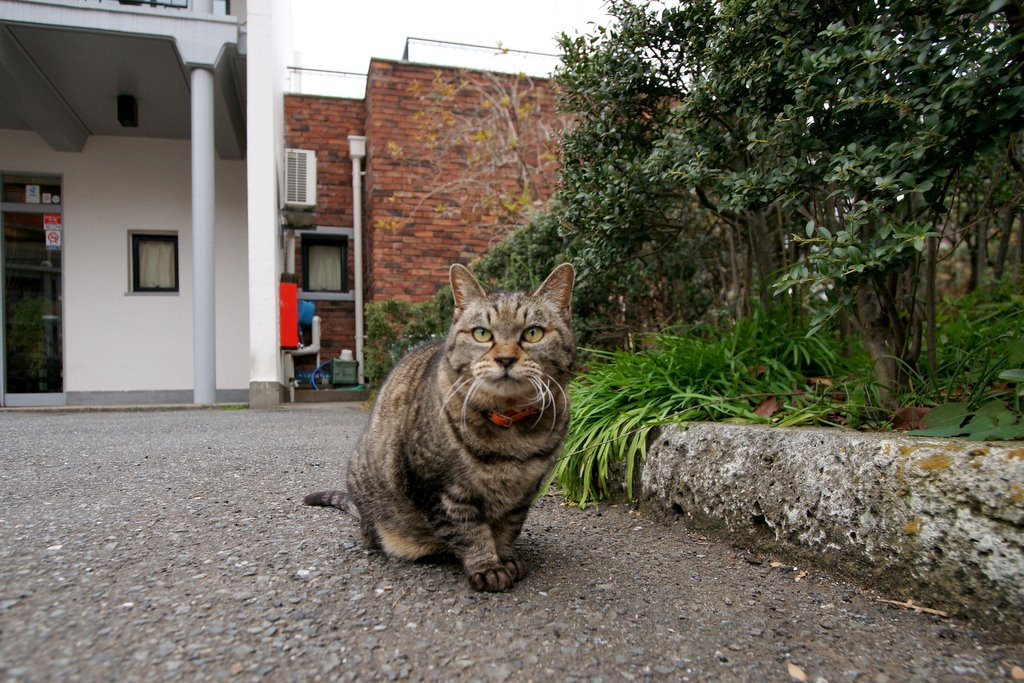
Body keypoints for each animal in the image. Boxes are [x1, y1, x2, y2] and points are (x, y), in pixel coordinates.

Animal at [305, 263, 575, 592]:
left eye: (533, 333)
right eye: (482, 334)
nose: (505, 359)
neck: (508, 429)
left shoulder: (523, 495)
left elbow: (507, 528)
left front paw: (507, 558)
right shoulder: (439, 489)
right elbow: (470, 531)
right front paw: (488, 566)